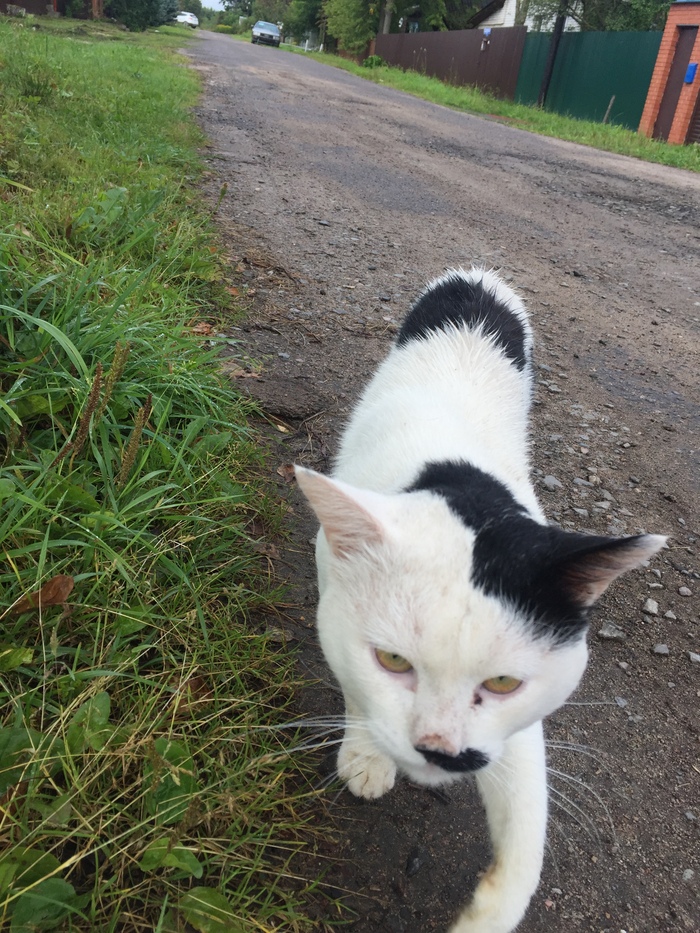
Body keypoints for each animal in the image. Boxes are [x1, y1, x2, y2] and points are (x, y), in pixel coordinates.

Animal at [292, 268, 664, 932]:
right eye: (393, 661)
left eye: (503, 683)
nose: (440, 751)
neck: (468, 497)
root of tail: (477, 276)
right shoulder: (327, 573)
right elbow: (354, 684)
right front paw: (366, 750)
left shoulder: (515, 729)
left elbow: (525, 837)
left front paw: (486, 912)